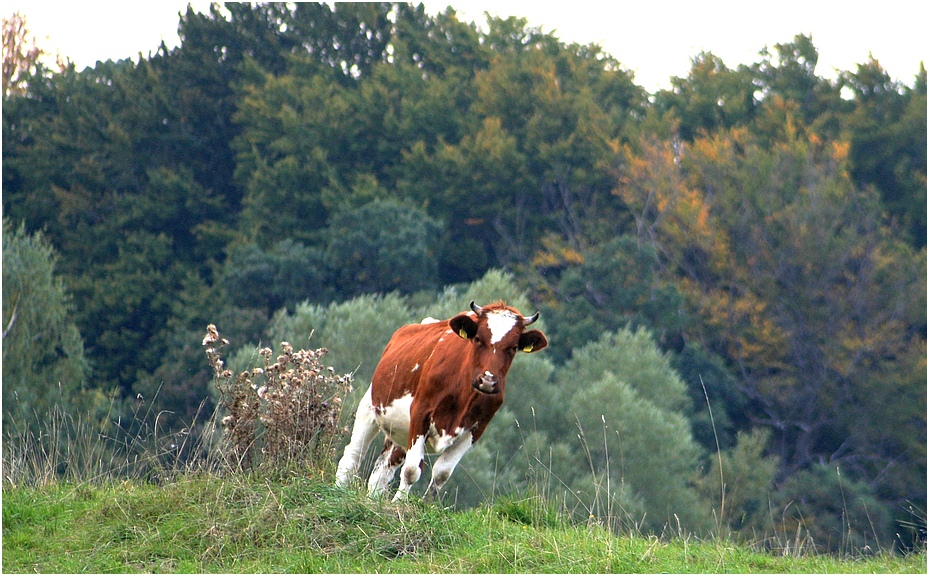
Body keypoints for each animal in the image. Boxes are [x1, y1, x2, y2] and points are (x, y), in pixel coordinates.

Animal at [336, 302, 548, 500]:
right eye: (478, 339)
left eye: (513, 348)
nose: (488, 381)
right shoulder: (420, 413)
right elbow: (412, 470)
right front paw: (399, 504)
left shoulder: (475, 430)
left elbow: (441, 474)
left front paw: (426, 504)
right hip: (369, 407)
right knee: (353, 456)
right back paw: (338, 490)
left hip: (399, 433)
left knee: (382, 471)